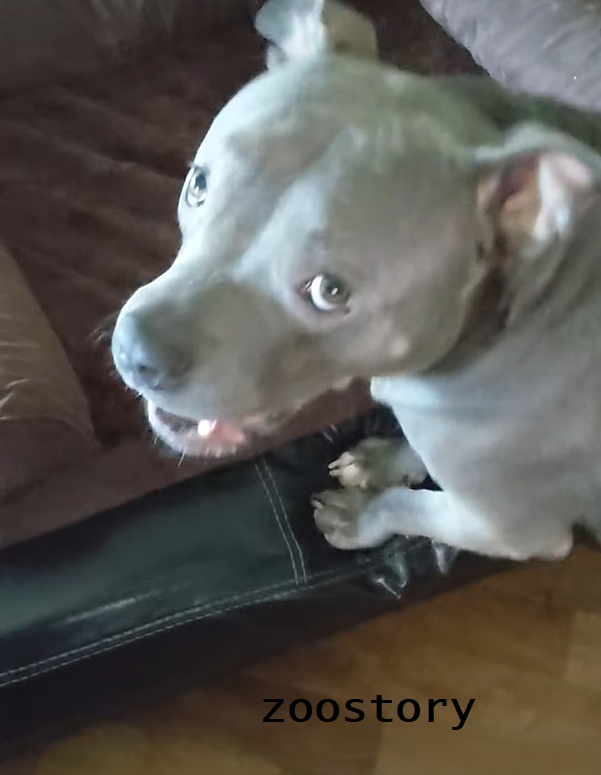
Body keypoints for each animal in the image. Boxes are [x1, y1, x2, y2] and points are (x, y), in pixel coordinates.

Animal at [112, 0, 601, 561]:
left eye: (329, 292)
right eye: (197, 185)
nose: (135, 351)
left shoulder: (509, 529)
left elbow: (411, 507)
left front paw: (361, 515)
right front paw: (384, 461)